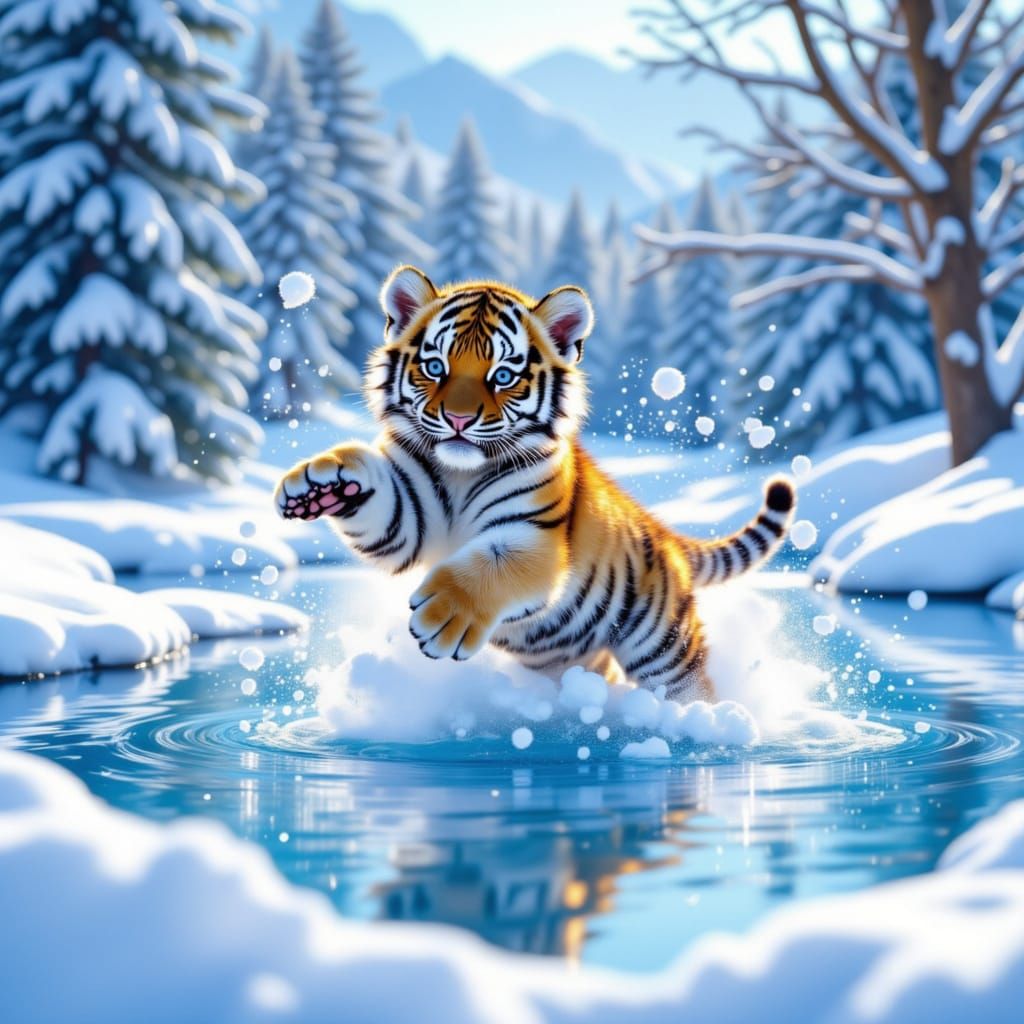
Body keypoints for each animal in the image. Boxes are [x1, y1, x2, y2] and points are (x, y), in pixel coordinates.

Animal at [274, 265, 795, 703]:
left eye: (503, 376)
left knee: (689, 684)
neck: (461, 473)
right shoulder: (409, 520)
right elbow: (377, 493)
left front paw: (444, 614)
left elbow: (493, 564)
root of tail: (663, 533)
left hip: (660, 642)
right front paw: (321, 484)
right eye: (436, 367)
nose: (458, 419)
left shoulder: (535, 537)